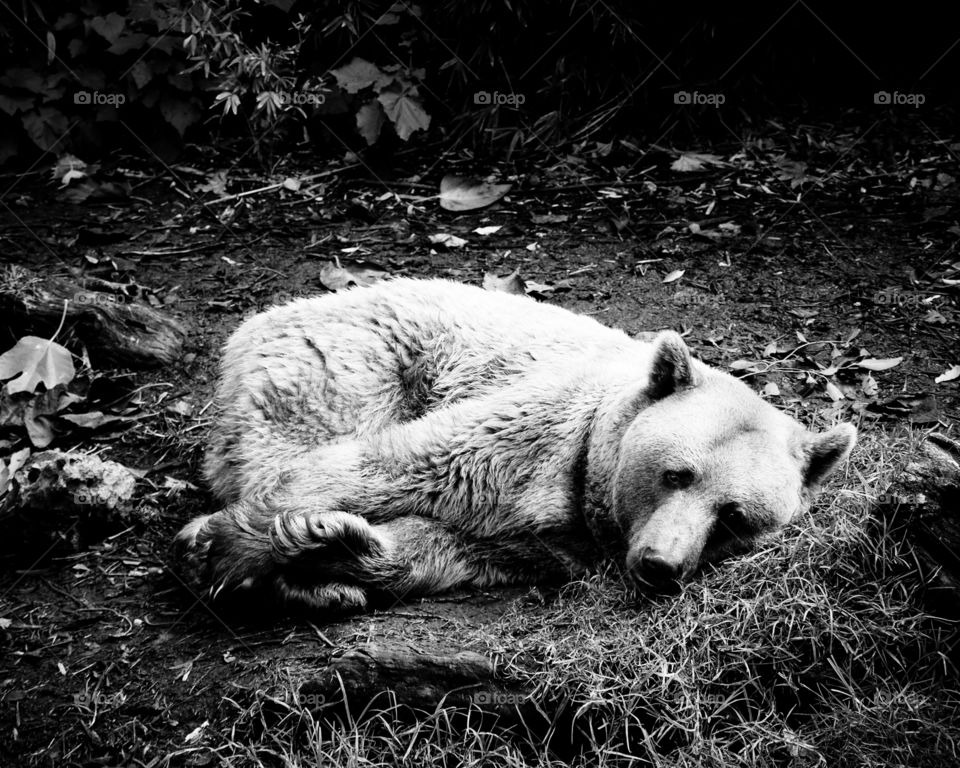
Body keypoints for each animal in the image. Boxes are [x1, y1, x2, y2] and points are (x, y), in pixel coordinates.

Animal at [176, 280, 860, 608]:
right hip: (347, 365)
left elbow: (448, 548)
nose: (660, 565)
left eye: (736, 516)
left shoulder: (550, 547)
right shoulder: (539, 425)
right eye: (677, 473)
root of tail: (263, 319)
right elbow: (403, 464)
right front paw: (235, 546)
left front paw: (332, 549)